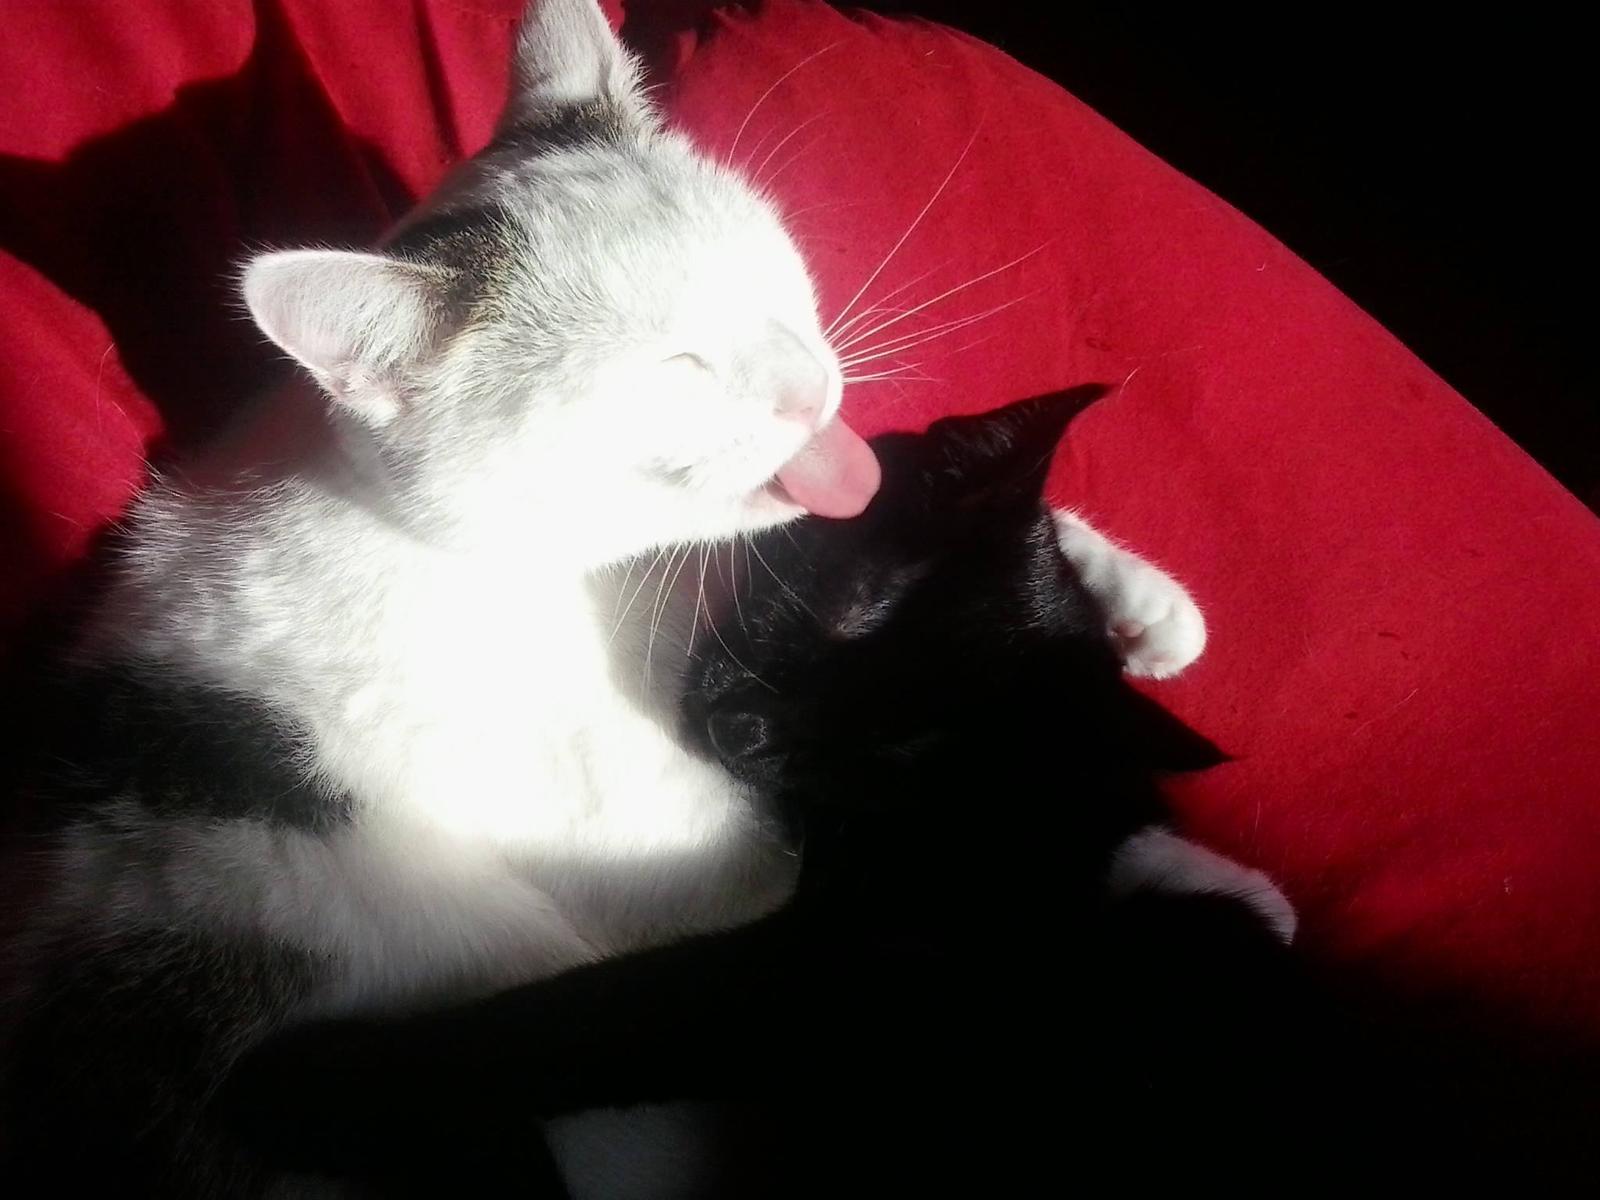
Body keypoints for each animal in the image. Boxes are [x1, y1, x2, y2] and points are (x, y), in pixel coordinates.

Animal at [220, 390, 1300, 1197]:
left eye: (894, 754)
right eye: (847, 611)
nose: (747, 731)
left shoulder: (829, 977)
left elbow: (585, 1014)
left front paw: (306, 1083)